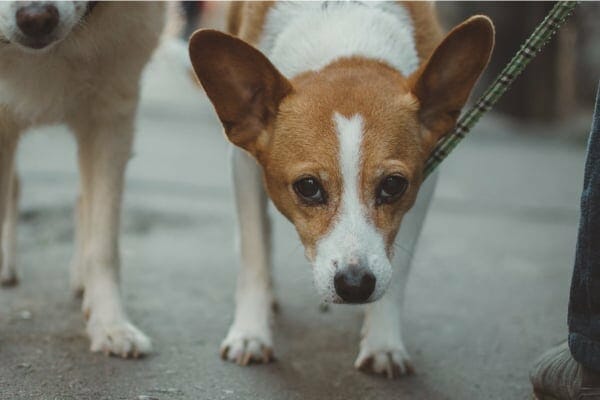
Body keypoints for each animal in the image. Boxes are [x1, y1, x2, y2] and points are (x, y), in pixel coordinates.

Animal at [190, 2, 494, 378]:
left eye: (393, 185)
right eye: (308, 187)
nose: (355, 284)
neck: (344, 33)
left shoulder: (425, 178)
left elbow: (399, 270)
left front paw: (383, 342)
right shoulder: (244, 164)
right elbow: (254, 252)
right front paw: (250, 334)